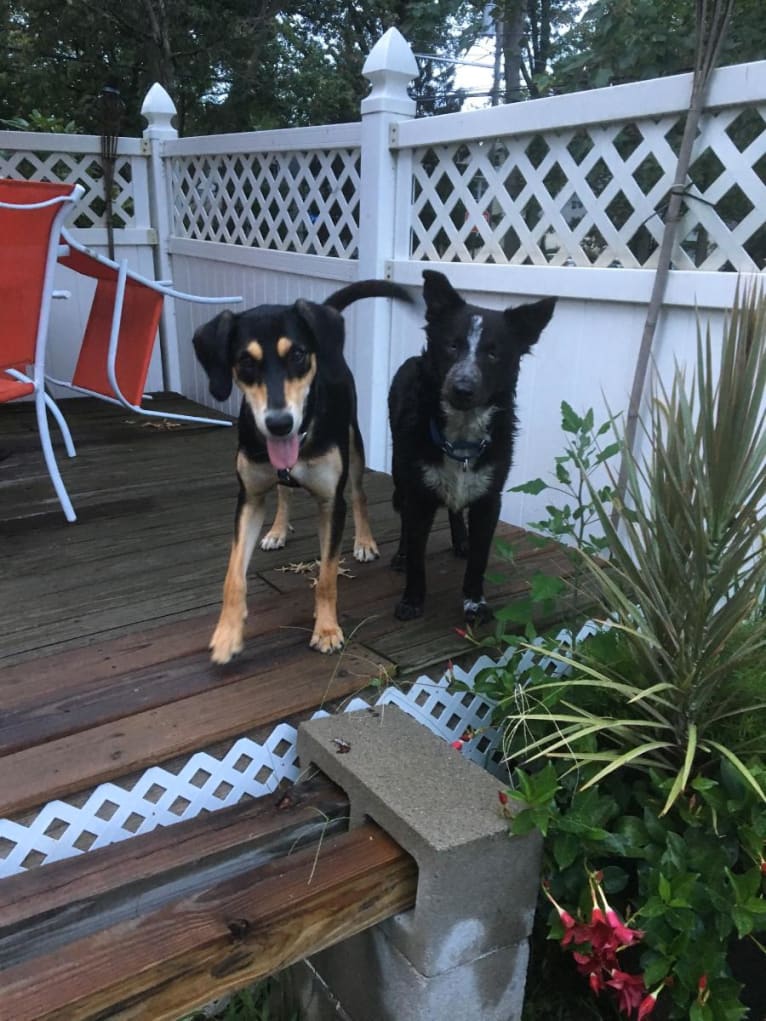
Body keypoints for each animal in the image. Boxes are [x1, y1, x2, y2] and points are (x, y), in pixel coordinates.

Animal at [195, 279, 410, 661]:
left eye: (297, 355)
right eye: (245, 362)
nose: (279, 424)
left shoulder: (331, 503)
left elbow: (326, 576)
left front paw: (326, 629)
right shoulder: (248, 499)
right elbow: (233, 576)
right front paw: (227, 633)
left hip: (354, 445)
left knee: (359, 492)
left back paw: (365, 541)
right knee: (283, 492)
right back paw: (278, 529)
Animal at [390, 267, 559, 624]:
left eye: (494, 353)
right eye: (451, 346)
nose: (463, 388)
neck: (461, 434)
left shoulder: (489, 498)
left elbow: (479, 559)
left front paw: (474, 602)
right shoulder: (418, 493)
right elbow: (417, 555)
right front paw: (412, 599)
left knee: (456, 510)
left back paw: (461, 541)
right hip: (400, 470)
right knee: (405, 521)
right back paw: (400, 554)